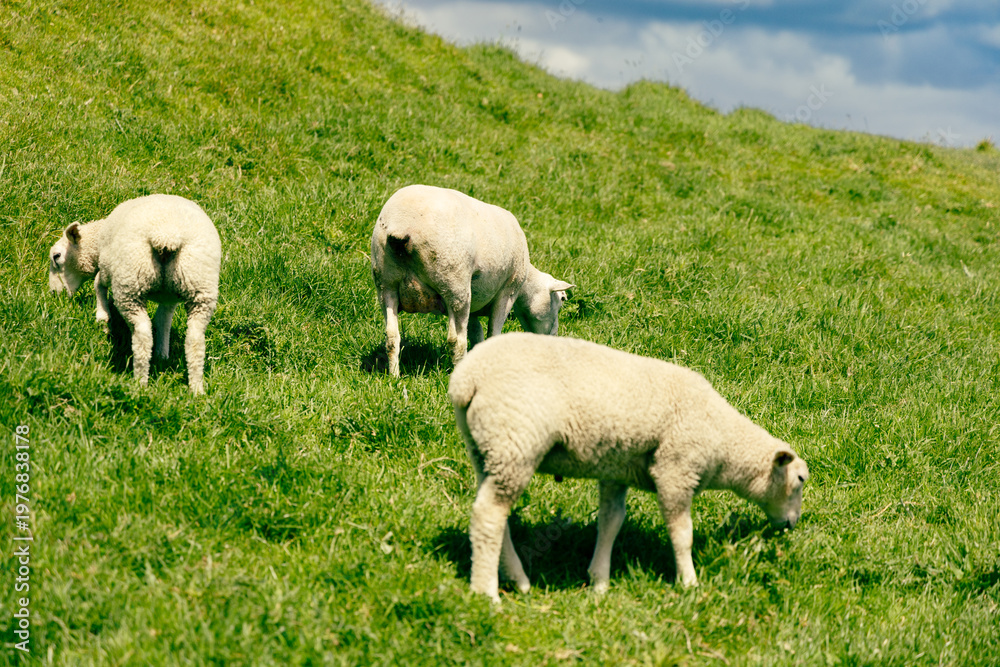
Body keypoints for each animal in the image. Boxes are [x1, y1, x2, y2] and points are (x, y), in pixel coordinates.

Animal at [48, 194, 222, 394]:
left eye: (57, 256)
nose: (54, 293)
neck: (98, 241)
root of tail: (166, 237)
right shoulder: (169, 297)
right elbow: (163, 321)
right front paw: (162, 354)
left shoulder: (107, 267)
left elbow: (98, 283)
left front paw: (102, 317)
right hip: (200, 288)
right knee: (195, 339)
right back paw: (196, 389)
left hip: (129, 283)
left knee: (142, 334)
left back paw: (139, 382)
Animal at [370, 184, 574, 376]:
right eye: (562, 300)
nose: (554, 339)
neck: (526, 286)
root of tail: (402, 225)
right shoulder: (507, 292)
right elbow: (492, 334)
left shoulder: (474, 301)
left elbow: (476, 334)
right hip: (454, 285)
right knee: (456, 341)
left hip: (386, 285)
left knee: (391, 336)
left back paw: (394, 376)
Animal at [448, 332, 809, 602]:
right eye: (800, 480)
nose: (790, 525)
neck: (722, 439)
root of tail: (466, 380)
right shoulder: (676, 470)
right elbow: (683, 534)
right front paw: (689, 582)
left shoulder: (614, 470)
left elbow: (611, 522)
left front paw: (599, 580)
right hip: (515, 440)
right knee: (488, 516)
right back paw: (487, 593)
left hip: (487, 449)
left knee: (496, 516)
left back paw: (518, 580)